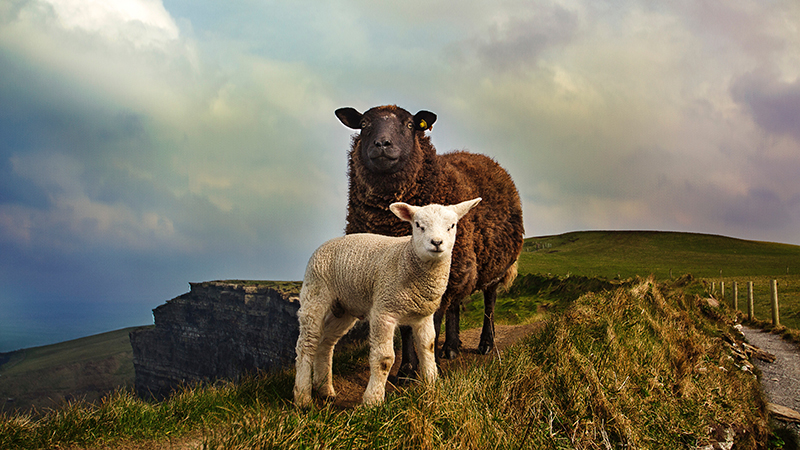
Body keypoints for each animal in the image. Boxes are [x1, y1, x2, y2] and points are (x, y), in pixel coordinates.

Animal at [294, 199, 482, 406]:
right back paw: (303, 397)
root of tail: (327, 242)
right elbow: (384, 359)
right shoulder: (384, 311)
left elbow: (428, 348)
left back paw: (324, 390)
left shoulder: (424, 316)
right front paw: (373, 400)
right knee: (307, 344)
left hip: (344, 308)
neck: (406, 259)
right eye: (418, 225)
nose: (437, 243)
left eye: (452, 226)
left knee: (326, 343)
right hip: (315, 292)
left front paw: (432, 386)